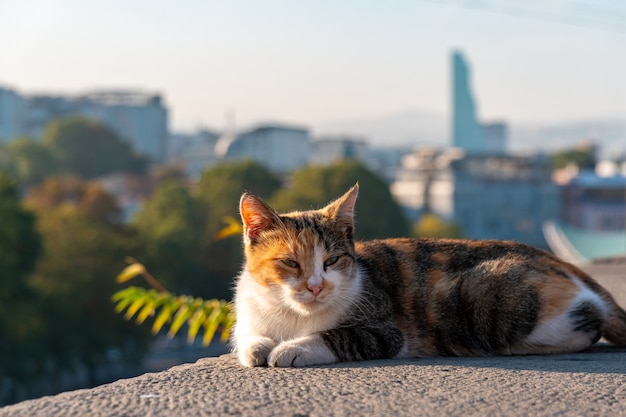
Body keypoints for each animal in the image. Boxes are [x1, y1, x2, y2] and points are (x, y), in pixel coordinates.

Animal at [232, 184, 624, 366]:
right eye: (291, 263)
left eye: (332, 260)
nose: (316, 287)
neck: (293, 316)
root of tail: (553, 258)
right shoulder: (249, 313)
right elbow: (247, 337)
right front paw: (258, 348)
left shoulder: (385, 330)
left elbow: (338, 336)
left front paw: (292, 349)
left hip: (483, 295)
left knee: (586, 320)